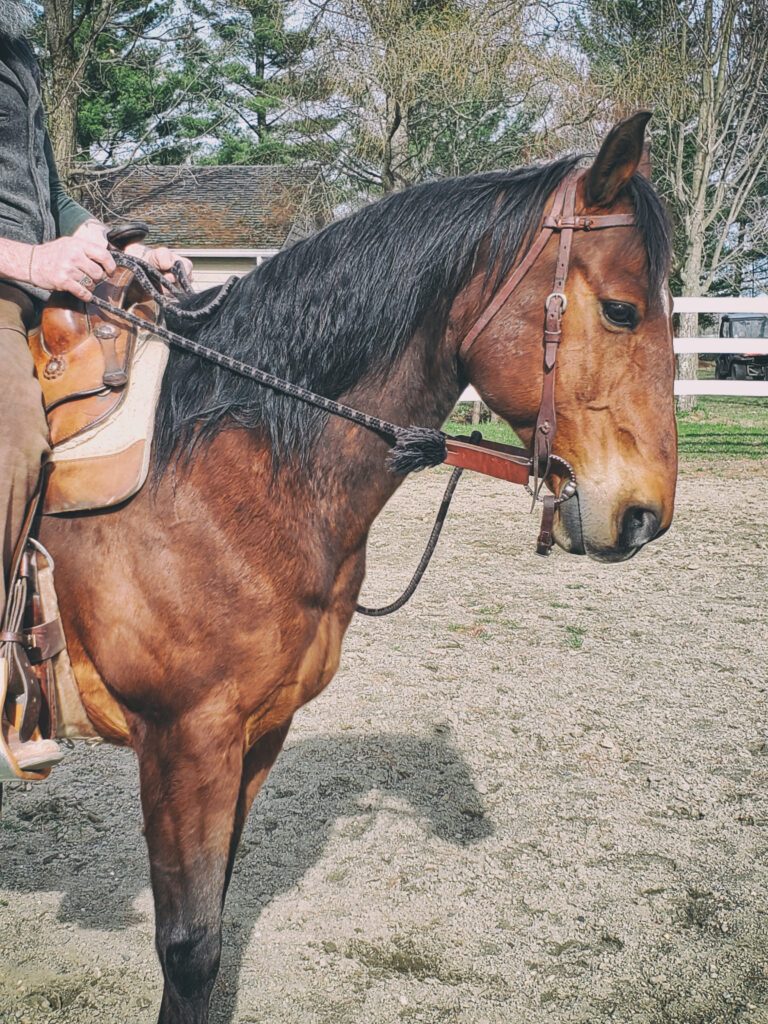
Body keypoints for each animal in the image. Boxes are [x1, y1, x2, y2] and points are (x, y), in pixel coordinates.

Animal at [36, 112, 675, 1024]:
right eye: (622, 310)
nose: (645, 514)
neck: (226, 468)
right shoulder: (184, 741)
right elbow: (191, 949)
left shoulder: (256, 734)